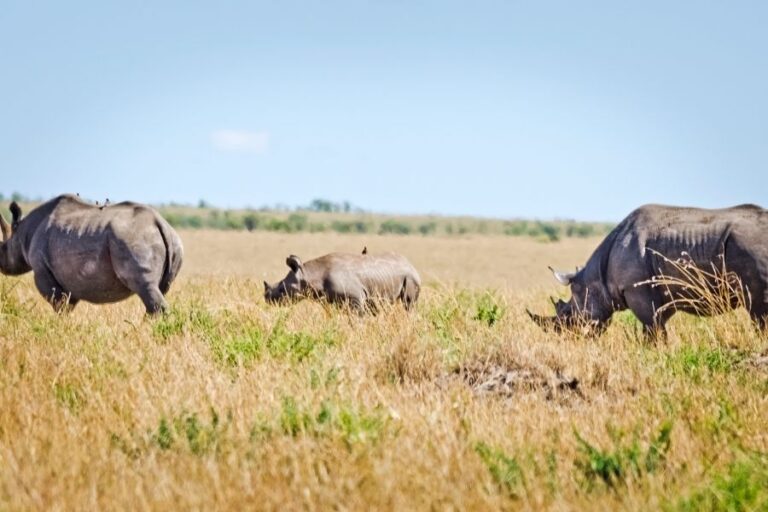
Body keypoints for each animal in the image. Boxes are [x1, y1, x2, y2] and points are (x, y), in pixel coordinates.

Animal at [0, 193, 184, 312]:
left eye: (3, 248)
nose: (2, 267)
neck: (23, 232)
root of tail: (160, 223)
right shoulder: (69, 276)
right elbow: (68, 304)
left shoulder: (41, 269)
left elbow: (58, 305)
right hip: (173, 243)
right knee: (160, 289)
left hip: (135, 239)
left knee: (146, 287)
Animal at [264, 252, 420, 312]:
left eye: (282, 290)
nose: (267, 300)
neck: (310, 274)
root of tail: (411, 265)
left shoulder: (356, 298)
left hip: (411, 277)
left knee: (408, 303)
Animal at [528, 204, 768, 340]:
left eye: (569, 317)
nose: (570, 339)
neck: (595, 279)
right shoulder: (663, 297)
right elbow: (656, 329)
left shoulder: (638, 291)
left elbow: (652, 332)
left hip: (749, 247)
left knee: (758, 313)